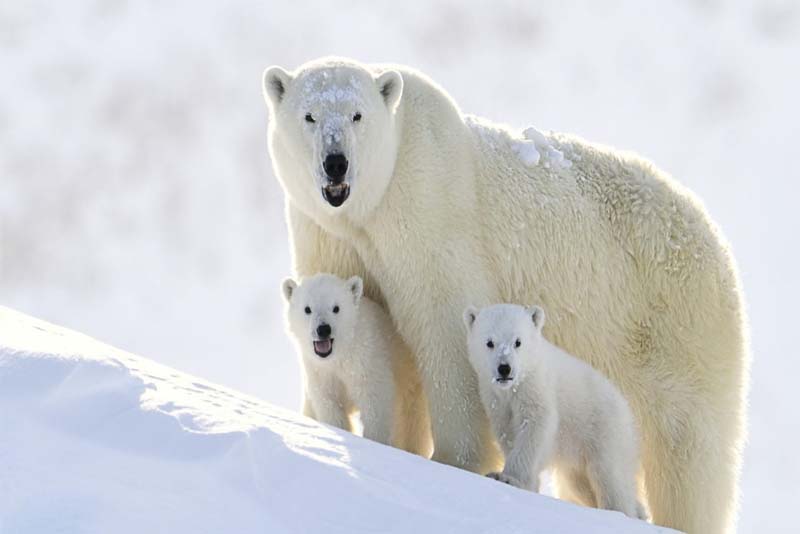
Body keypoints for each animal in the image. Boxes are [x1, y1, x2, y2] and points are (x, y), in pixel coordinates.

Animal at [282, 276, 432, 456]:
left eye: (336, 308)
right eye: (307, 309)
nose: (323, 329)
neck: (341, 354)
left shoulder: (367, 360)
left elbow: (375, 405)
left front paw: (375, 443)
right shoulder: (319, 371)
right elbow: (330, 404)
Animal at [466, 308, 648, 520]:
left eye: (518, 341)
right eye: (489, 342)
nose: (504, 368)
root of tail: (627, 410)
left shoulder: (536, 388)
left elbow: (535, 427)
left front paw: (509, 478)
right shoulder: (496, 399)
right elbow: (507, 432)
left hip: (605, 430)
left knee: (610, 476)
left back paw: (622, 511)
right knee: (581, 484)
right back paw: (639, 512)